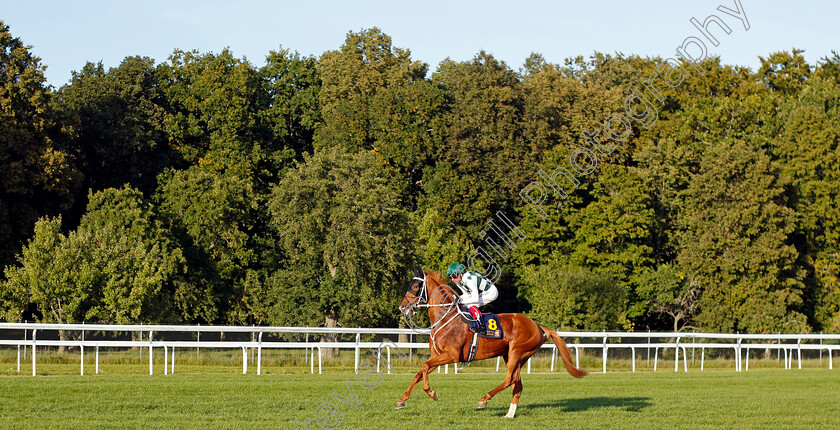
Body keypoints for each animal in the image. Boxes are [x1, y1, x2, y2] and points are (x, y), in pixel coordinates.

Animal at [396, 270, 584, 418]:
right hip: (514, 356)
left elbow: (425, 367)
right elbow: (420, 372)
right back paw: (509, 414)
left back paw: (484, 400)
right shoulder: (438, 355)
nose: (402, 307)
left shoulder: (452, 355)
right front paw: (401, 400)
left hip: (517, 351)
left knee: (509, 379)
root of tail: (538, 327)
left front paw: (432, 393)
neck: (446, 318)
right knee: (517, 383)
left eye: (415, 286)